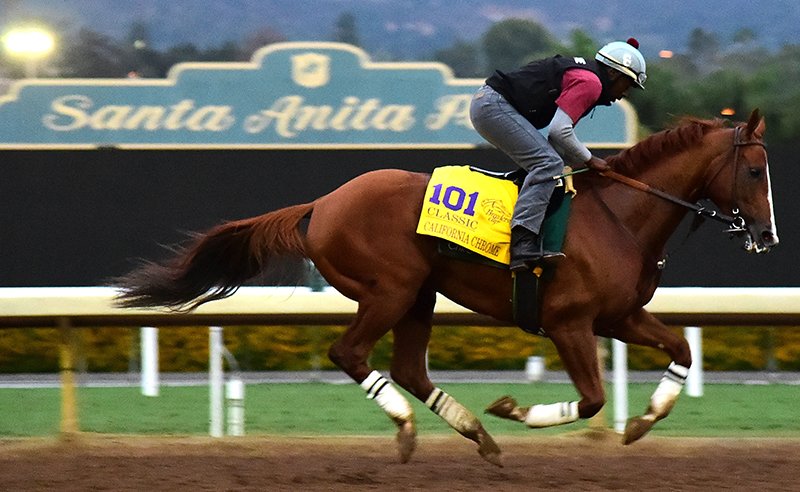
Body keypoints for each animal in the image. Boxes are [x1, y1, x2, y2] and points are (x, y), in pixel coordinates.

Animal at [115, 109, 780, 468]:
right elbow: (590, 399)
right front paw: (514, 408)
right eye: (754, 170)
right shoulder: (569, 323)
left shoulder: (619, 317)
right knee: (350, 353)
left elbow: (682, 350)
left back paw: (475, 435)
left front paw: (643, 422)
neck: (619, 215)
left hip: (420, 296)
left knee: (409, 368)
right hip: (390, 288)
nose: (768, 235)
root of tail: (322, 204)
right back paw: (415, 427)